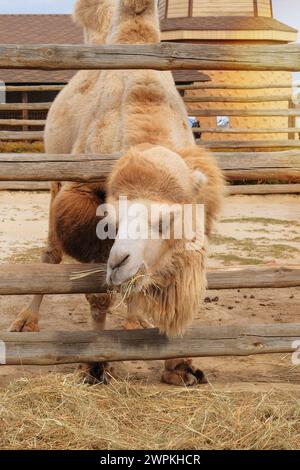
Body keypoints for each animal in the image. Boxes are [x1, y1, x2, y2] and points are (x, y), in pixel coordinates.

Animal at [9, 0, 224, 386]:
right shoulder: (82, 201)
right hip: (53, 172)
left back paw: (135, 320)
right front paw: (95, 365)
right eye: (110, 219)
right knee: (51, 252)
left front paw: (180, 366)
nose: (121, 260)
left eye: (167, 219)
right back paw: (26, 320)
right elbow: (98, 295)